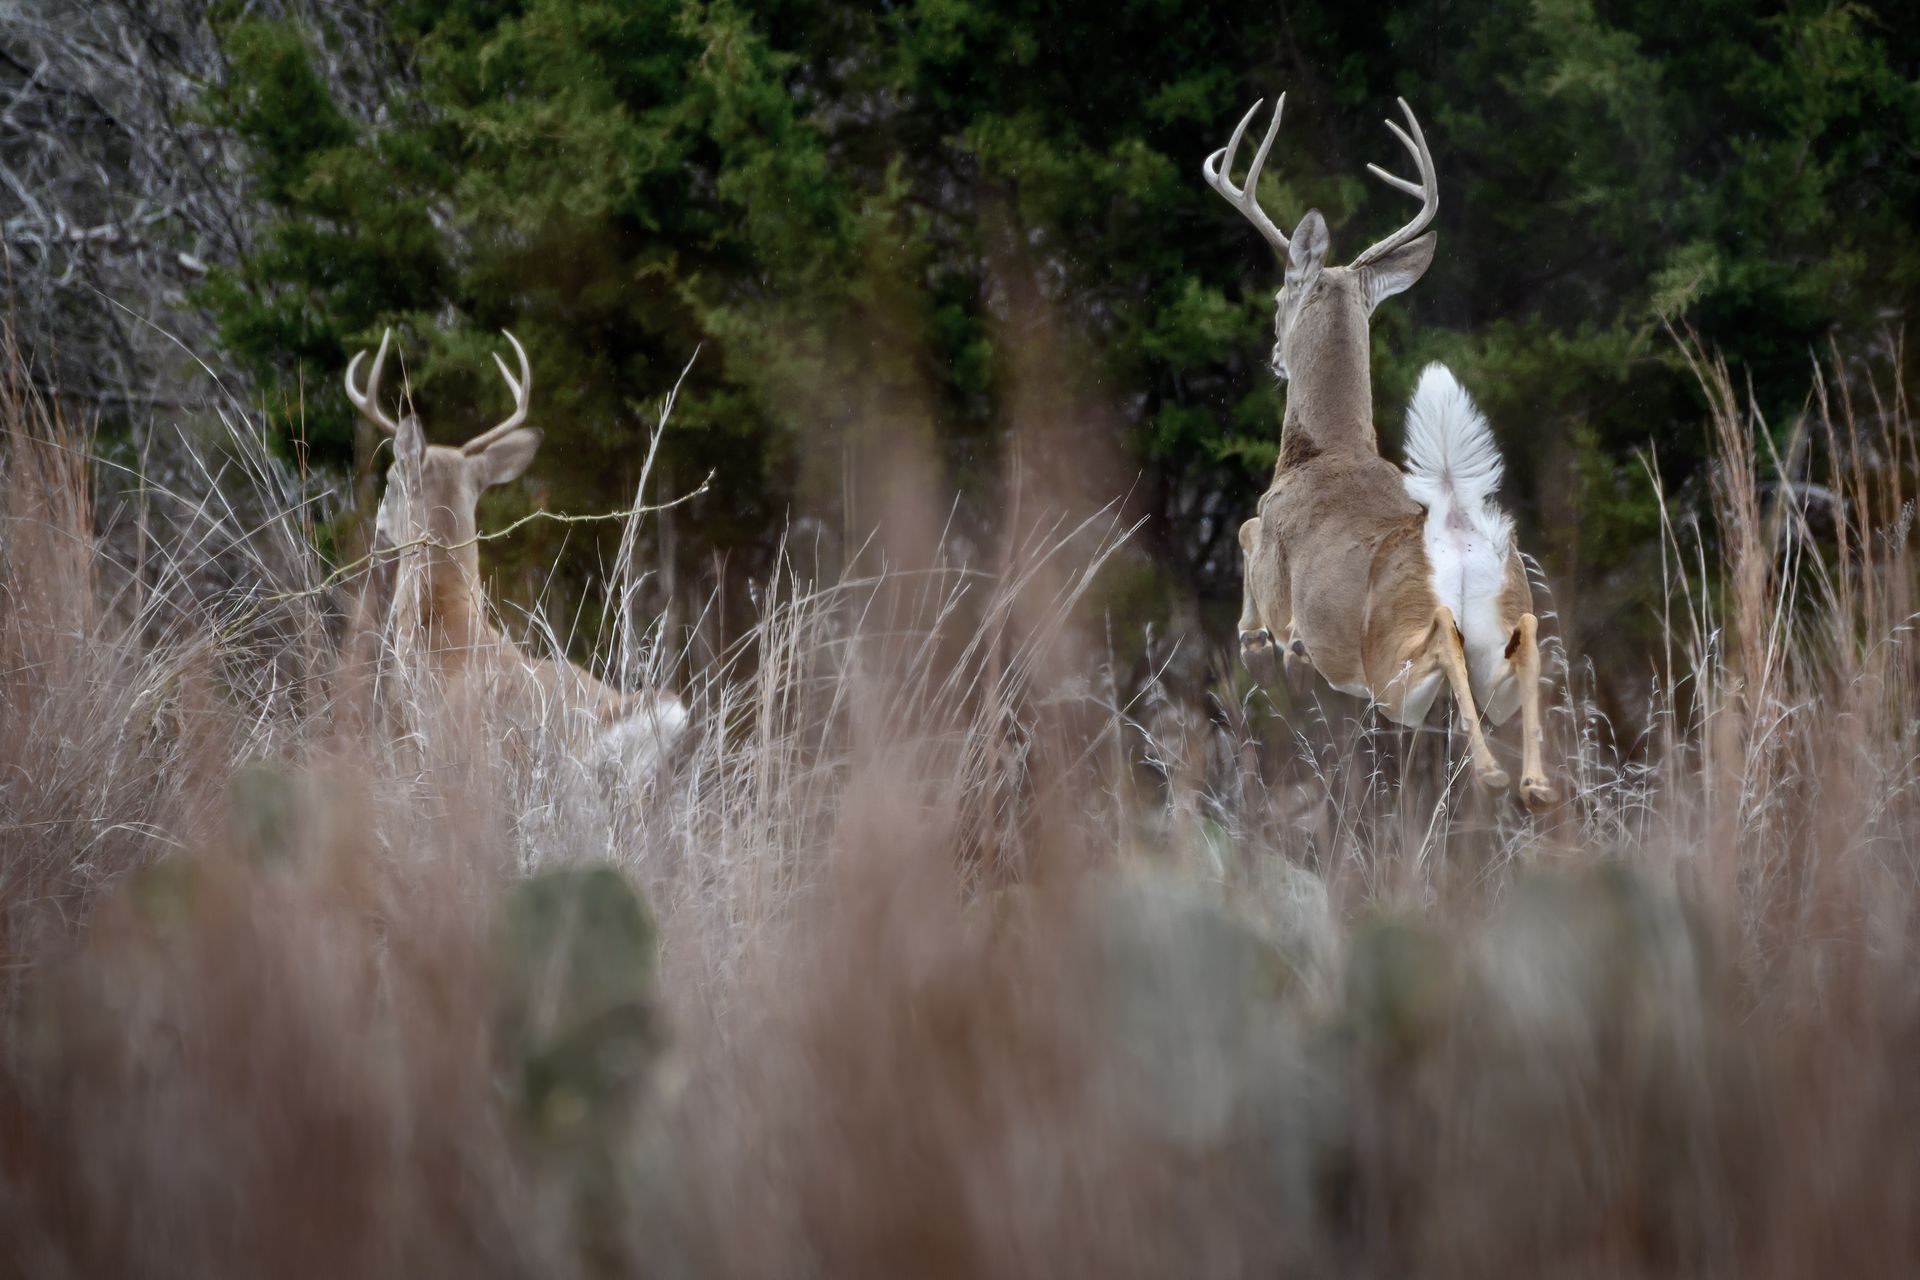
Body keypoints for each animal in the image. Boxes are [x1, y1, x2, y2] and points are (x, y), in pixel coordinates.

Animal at [1213, 92, 1559, 809]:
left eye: (1280, 295)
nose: (1274, 354)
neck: (1325, 450)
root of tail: (1455, 532)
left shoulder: (1275, 558)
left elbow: (1247, 529)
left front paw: (1257, 642)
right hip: (1501, 646)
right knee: (1525, 644)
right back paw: (1531, 780)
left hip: (1389, 662)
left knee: (1440, 649)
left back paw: (1494, 773)